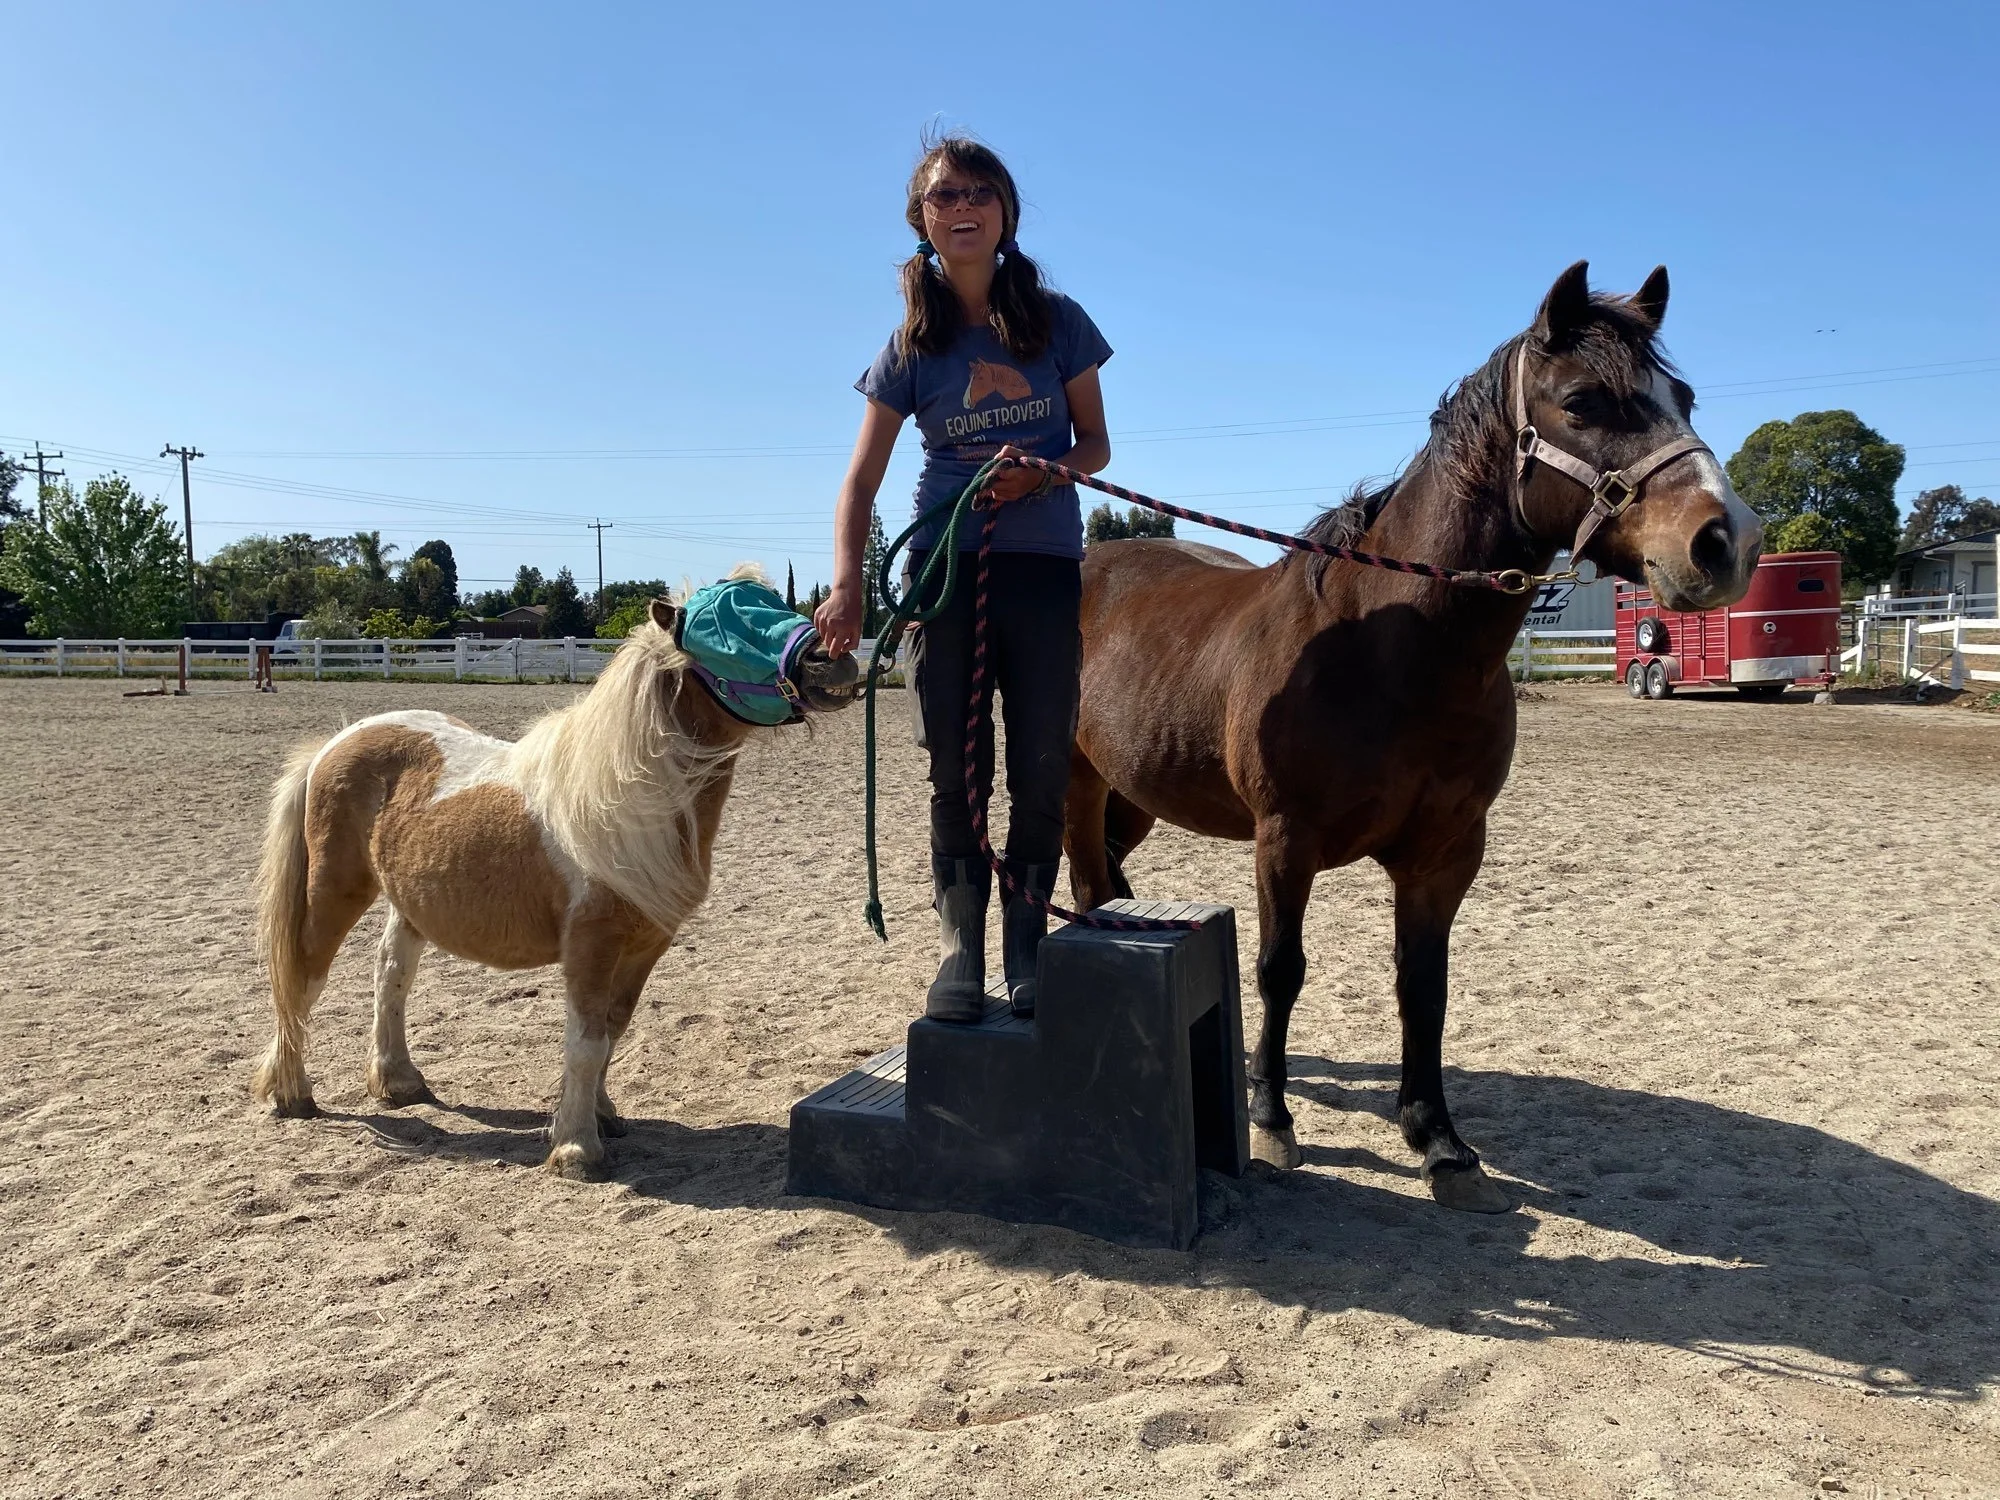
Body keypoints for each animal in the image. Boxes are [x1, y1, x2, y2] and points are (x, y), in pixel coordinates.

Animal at [249, 590, 858, 1178]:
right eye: (722, 631)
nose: (833, 657)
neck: (627, 800)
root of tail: (336, 742)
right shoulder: (591, 943)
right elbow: (586, 1042)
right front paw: (576, 1149)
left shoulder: (646, 944)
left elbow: (612, 1032)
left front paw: (602, 1116)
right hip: (334, 892)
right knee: (301, 980)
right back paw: (292, 1094)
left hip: (410, 902)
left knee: (390, 975)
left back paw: (399, 1082)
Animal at [1062, 262, 1763, 1212]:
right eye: (1583, 400)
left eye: (1681, 398)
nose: (1728, 540)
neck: (1391, 650)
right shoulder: (1284, 841)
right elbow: (1281, 969)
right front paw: (1272, 1119)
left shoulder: (1445, 853)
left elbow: (1422, 988)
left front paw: (1437, 1140)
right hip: (1065, 779)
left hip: (1132, 795)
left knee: (1104, 884)